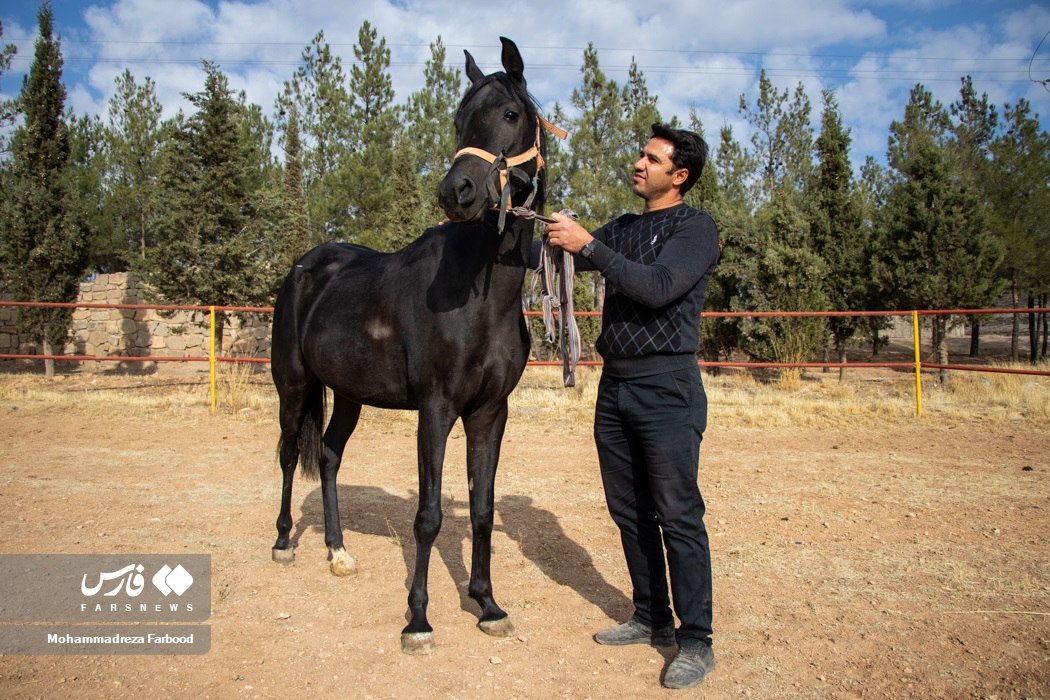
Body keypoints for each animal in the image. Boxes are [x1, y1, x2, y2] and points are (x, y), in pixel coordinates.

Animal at [268, 36, 550, 659]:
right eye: (459, 119)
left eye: (510, 114)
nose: (457, 193)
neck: (480, 295)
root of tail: (304, 267)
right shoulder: (436, 409)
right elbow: (428, 516)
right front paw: (418, 619)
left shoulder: (490, 413)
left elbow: (482, 510)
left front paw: (487, 604)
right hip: (294, 386)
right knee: (287, 456)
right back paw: (282, 543)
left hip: (348, 393)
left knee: (328, 456)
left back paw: (337, 552)